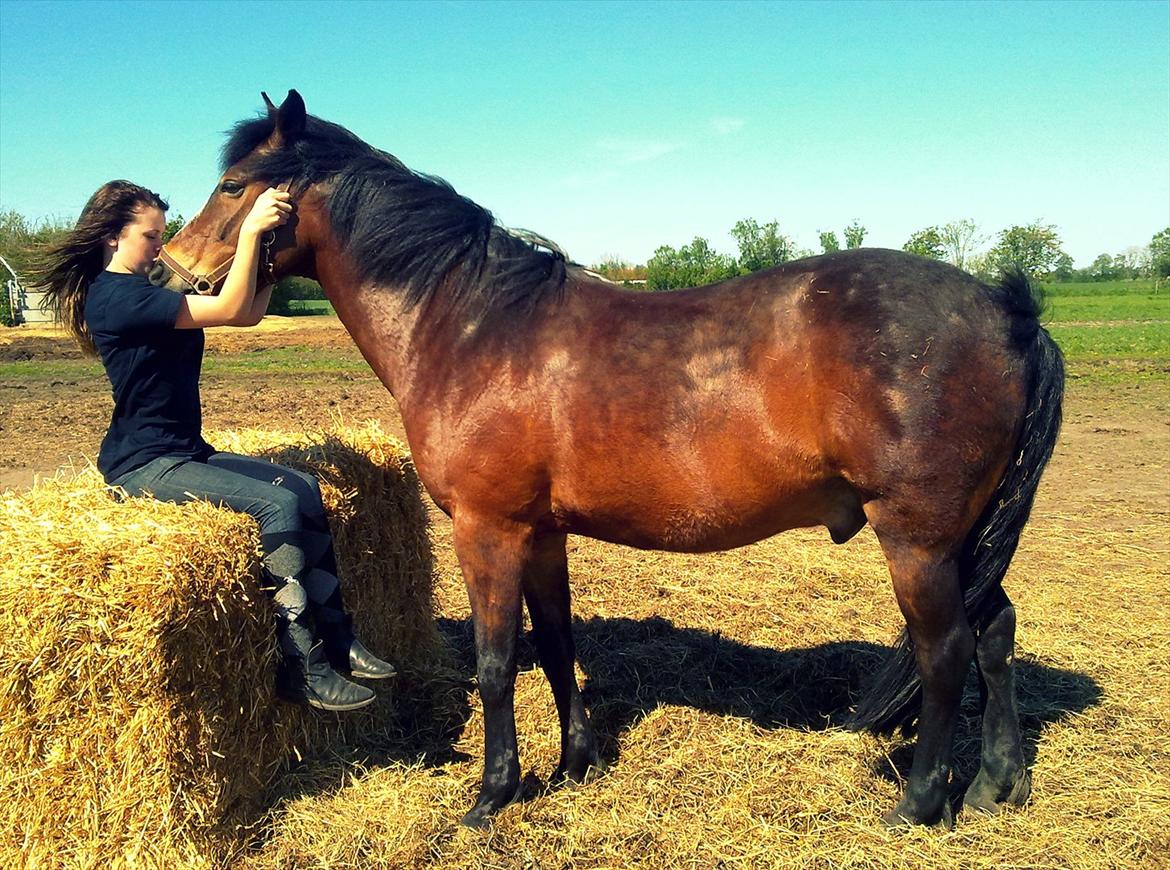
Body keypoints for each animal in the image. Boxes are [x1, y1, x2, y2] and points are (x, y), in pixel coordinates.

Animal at [155, 90, 1062, 827]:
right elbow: (556, 645)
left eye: (235, 185)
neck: (472, 325)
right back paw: (997, 785)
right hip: (960, 541)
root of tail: (1006, 311)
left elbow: (495, 664)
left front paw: (492, 795)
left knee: (945, 652)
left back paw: (919, 802)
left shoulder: (487, 531)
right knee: (994, 634)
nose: (175, 268)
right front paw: (576, 762)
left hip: (916, 540)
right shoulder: (541, 532)